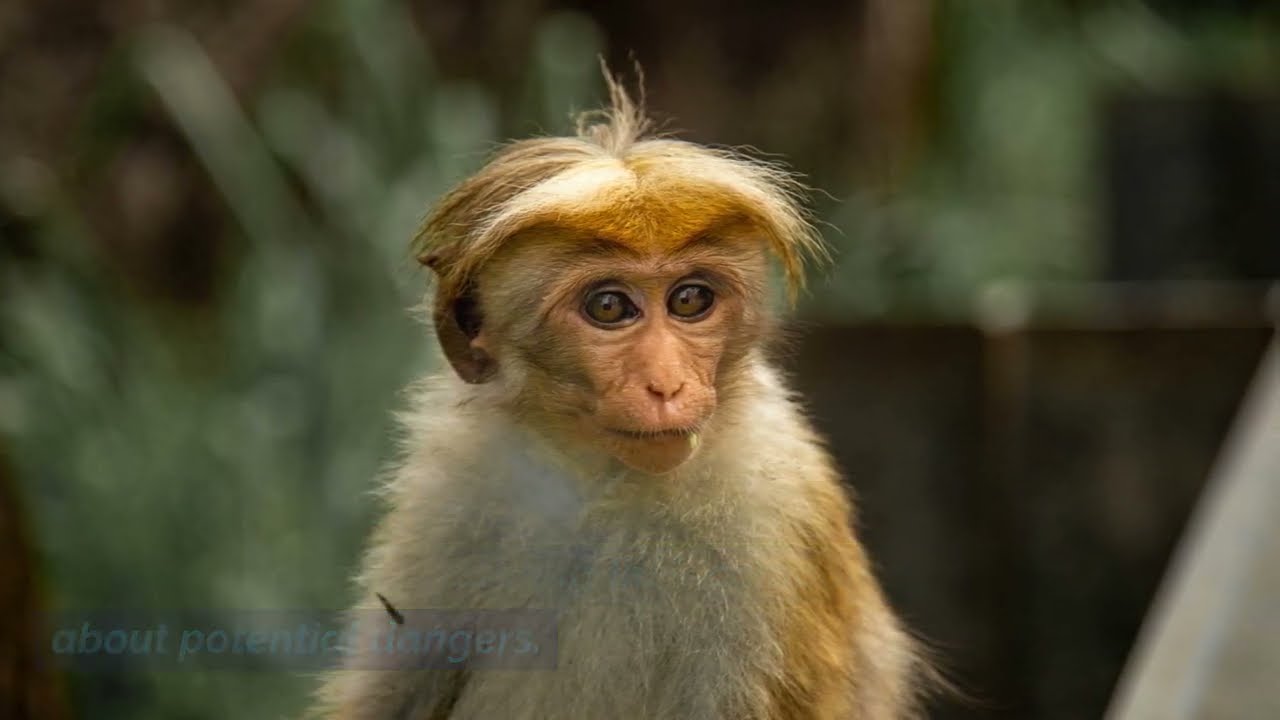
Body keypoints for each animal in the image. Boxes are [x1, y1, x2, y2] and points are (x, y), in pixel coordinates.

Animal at [311, 75, 929, 720]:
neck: (598, 485)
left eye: (690, 300)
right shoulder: (448, 488)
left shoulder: (773, 516)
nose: (667, 384)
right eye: (609, 307)